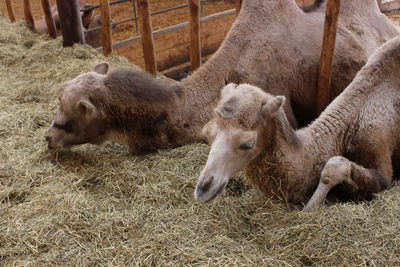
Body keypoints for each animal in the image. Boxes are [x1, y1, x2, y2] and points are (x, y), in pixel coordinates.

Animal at [195, 36, 400, 211]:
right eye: (207, 135)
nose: (204, 188)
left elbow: (335, 165)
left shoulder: (380, 157)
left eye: (247, 144)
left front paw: (311, 207)